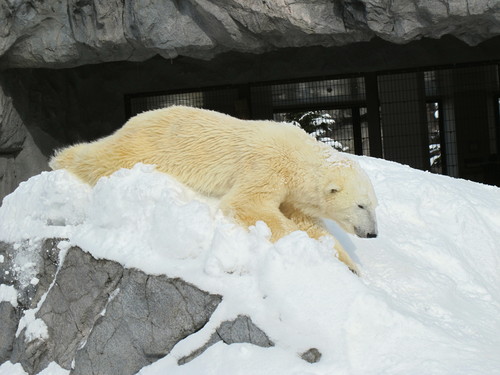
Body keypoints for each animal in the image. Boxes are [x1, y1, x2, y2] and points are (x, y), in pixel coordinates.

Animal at [51, 106, 378, 274]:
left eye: (374, 206)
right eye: (361, 205)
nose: (373, 234)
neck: (298, 156)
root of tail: (133, 119)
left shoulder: (291, 190)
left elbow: (307, 221)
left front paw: (349, 265)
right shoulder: (267, 166)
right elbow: (247, 204)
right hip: (149, 146)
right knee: (104, 157)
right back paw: (62, 157)